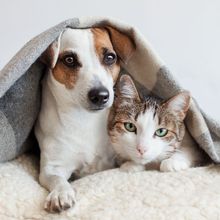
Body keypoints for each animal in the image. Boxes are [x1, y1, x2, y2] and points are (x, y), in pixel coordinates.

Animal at [34, 26, 135, 212]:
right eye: (69, 60)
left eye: (110, 57)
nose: (100, 95)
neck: (86, 120)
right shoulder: (51, 167)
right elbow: (57, 179)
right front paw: (61, 194)